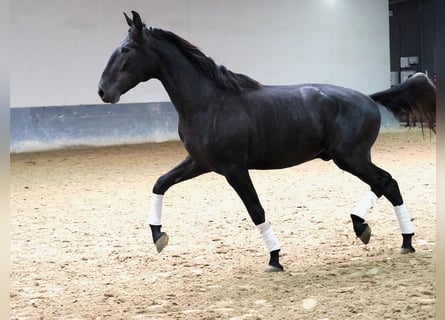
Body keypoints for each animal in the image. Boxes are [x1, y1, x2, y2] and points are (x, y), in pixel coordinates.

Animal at [97, 10, 434, 270]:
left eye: (126, 50)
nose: (103, 91)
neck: (210, 102)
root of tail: (369, 98)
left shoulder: (234, 169)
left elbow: (255, 210)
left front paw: (274, 258)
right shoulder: (200, 163)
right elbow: (160, 183)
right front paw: (158, 236)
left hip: (350, 158)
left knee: (386, 181)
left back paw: (372, 229)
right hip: (352, 158)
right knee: (388, 184)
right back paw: (398, 238)